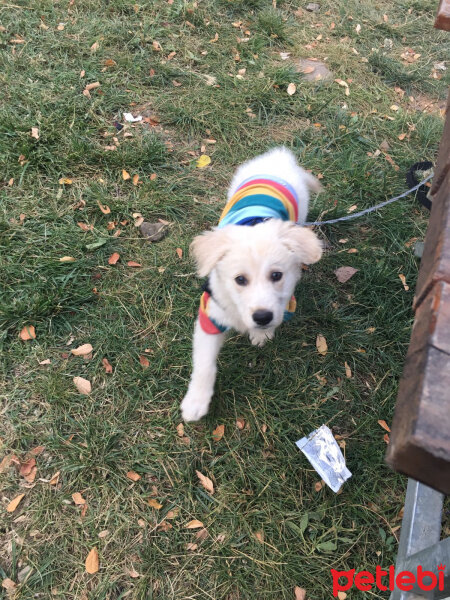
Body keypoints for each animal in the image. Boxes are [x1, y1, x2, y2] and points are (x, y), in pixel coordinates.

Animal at [181, 146, 322, 422]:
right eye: (240, 280)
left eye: (276, 276)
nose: (262, 318)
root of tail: (280, 156)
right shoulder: (210, 316)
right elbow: (204, 364)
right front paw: (196, 401)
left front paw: (262, 333)